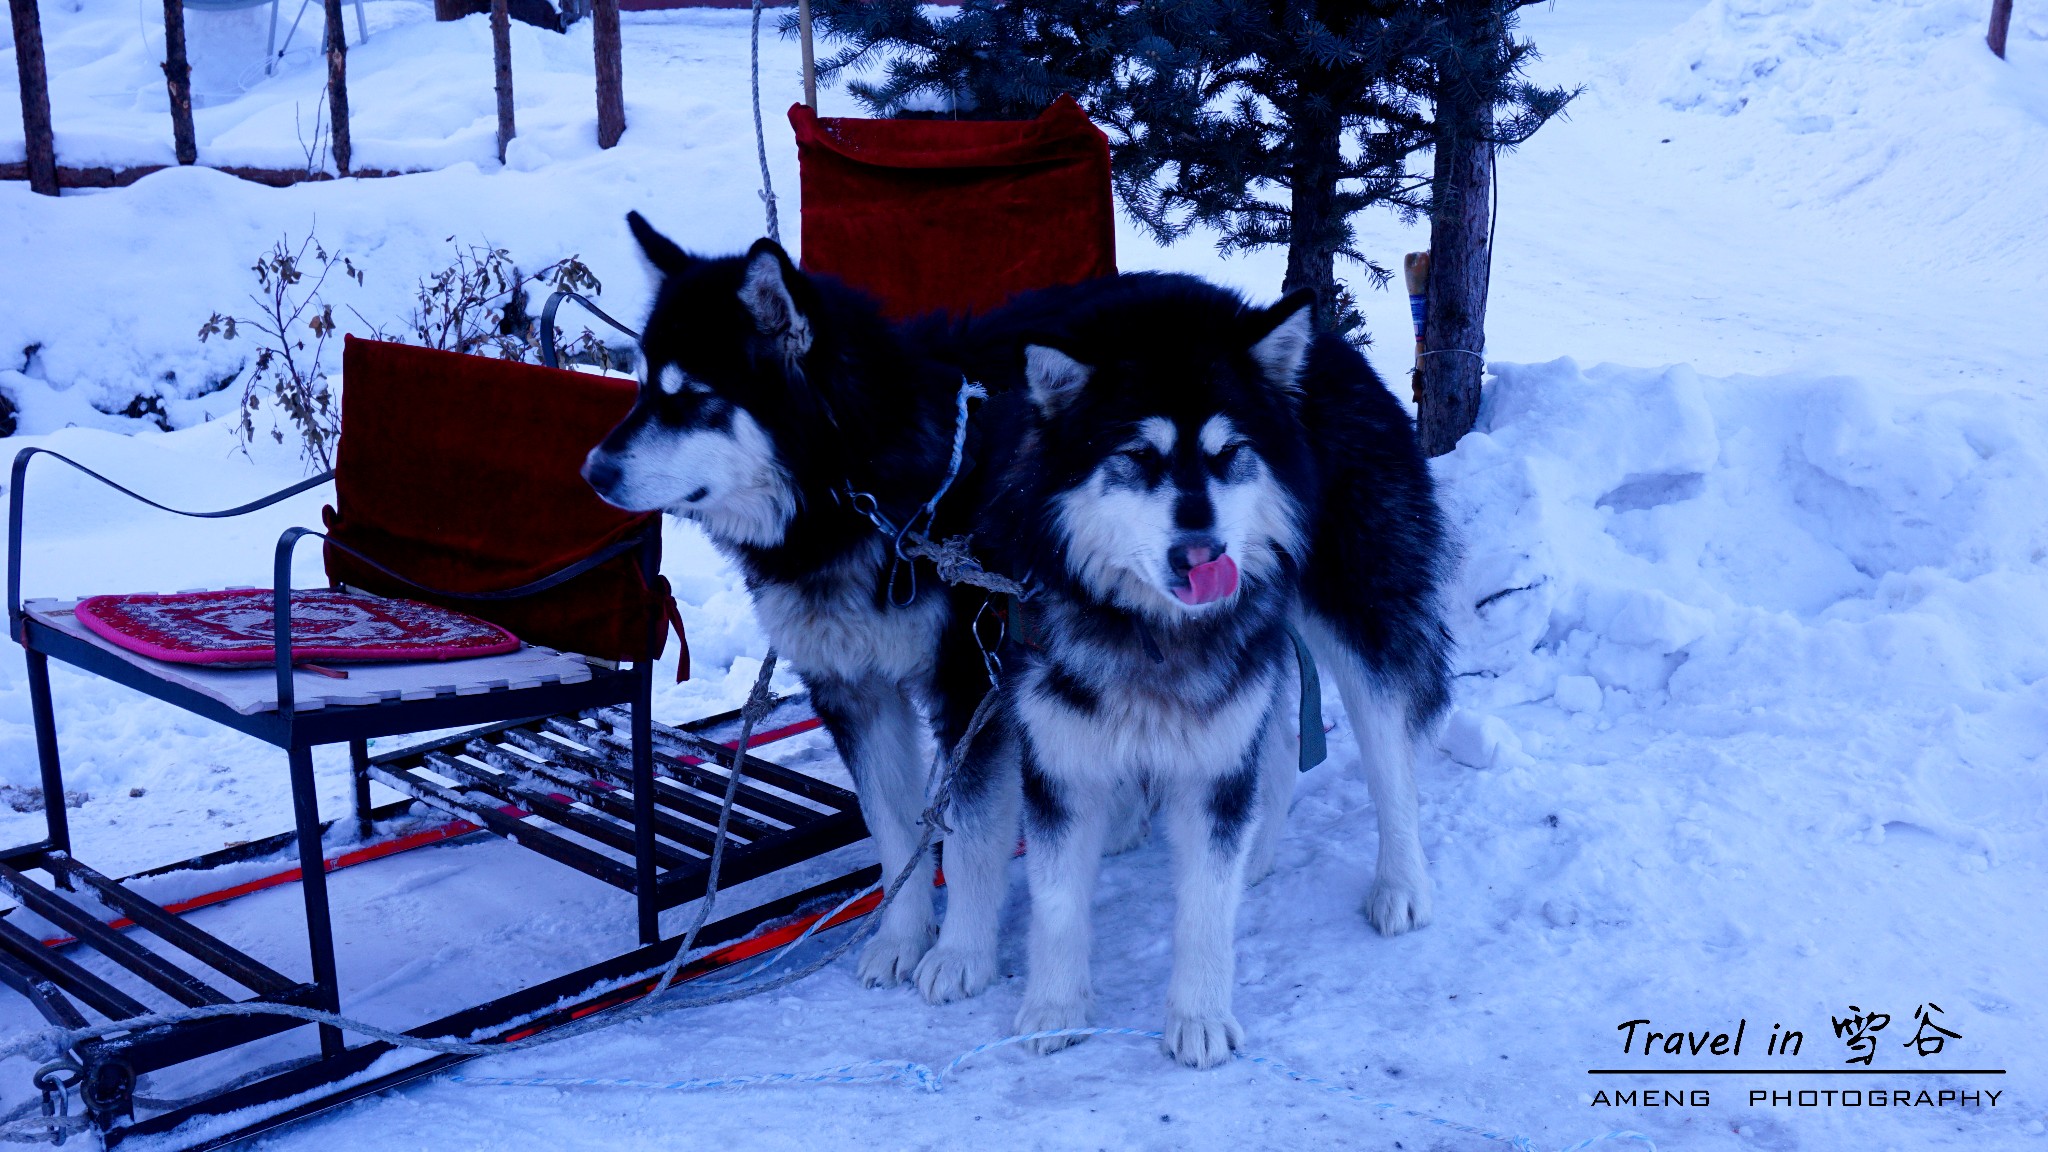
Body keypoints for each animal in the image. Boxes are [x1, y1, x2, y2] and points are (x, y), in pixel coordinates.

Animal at [921, 272, 1449, 1065]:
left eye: (1230, 455)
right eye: (1139, 458)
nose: (1204, 554)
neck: (1150, 629)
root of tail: (1330, 350)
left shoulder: (1212, 752)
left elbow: (1205, 907)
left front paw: (1199, 1016)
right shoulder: (1058, 757)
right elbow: (1056, 903)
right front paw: (1054, 1008)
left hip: (1358, 620)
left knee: (1390, 759)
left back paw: (1400, 884)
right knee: (1278, 749)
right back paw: (1256, 851)